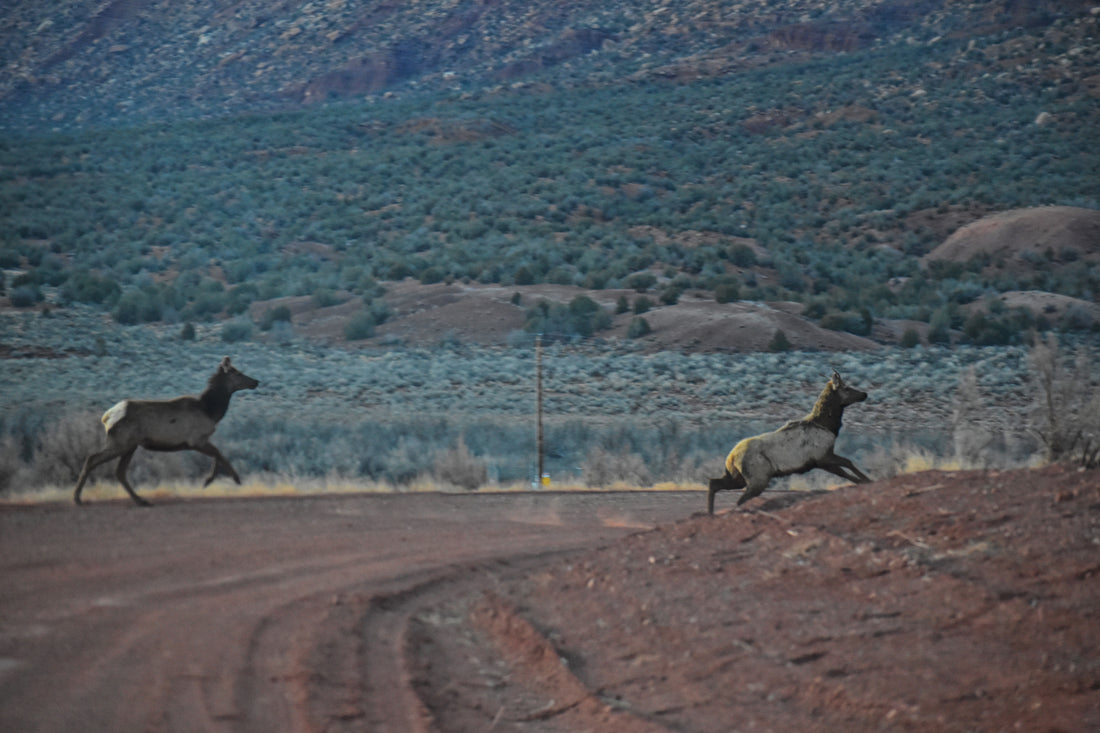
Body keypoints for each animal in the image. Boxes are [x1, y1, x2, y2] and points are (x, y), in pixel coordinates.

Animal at [74, 356, 259, 506]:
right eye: (236, 372)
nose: (256, 381)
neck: (211, 411)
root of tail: (107, 417)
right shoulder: (196, 440)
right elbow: (218, 454)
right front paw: (225, 479)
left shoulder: (199, 441)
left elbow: (217, 455)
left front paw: (213, 480)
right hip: (120, 442)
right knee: (92, 459)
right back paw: (77, 499)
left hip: (130, 446)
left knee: (119, 472)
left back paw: (141, 501)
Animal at [708, 367, 871, 510]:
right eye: (847, 388)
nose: (864, 394)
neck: (828, 426)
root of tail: (731, 457)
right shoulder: (822, 457)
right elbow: (847, 463)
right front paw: (867, 480)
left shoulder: (821, 461)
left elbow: (844, 470)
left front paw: (864, 481)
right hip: (758, 478)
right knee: (740, 499)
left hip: (737, 477)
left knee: (714, 483)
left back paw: (711, 513)